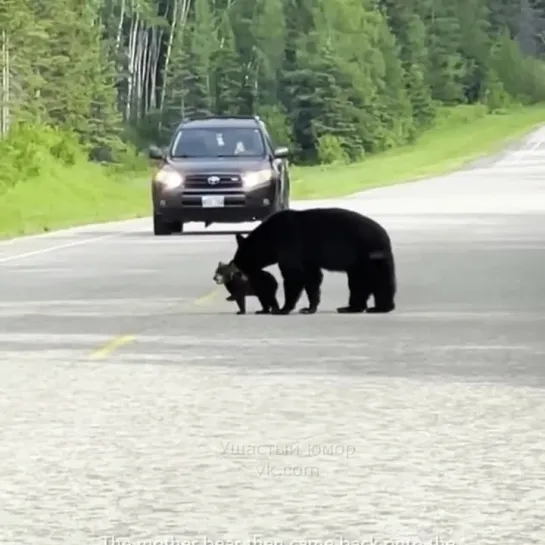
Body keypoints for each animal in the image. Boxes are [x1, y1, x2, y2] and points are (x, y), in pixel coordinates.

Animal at [231, 206, 396, 312]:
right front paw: (310, 307)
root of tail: (385, 237)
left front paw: (284, 308)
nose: (236, 267)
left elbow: (294, 274)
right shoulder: (307, 257)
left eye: (239, 260)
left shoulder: (288, 242)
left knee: (368, 281)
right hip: (369, 259)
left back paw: (372, 308)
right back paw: (361, 307)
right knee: (372, 282)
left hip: (366, 256)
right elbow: (312, 277)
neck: (269, 238)